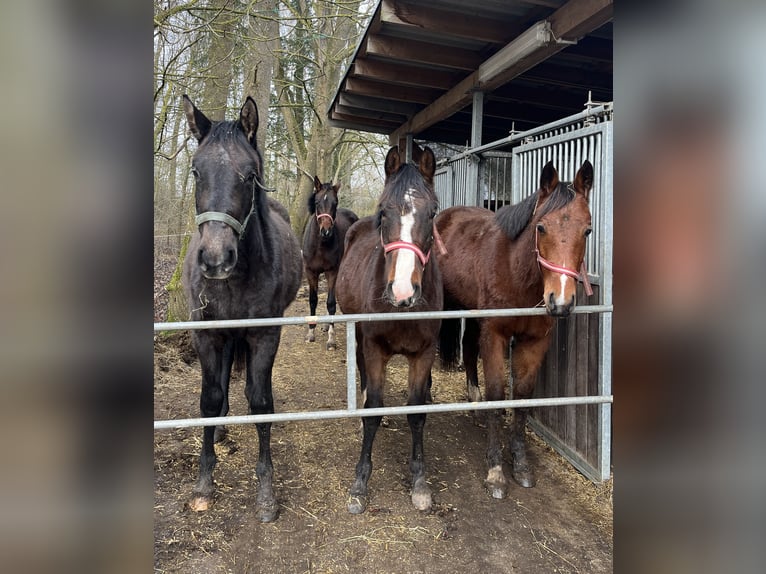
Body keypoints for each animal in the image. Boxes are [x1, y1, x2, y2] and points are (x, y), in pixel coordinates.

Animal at [181, 95, 304, 520]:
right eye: (196, 171)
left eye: (250, 176)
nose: (216, 259)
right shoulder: (207, 335)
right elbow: (209, 397)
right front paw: (204, 483)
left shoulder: (265, 335)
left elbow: (261, 400)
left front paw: (266, 492)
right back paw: (220, 429)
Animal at [300, 178, 360, 352]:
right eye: (317, 202)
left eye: (335, 203)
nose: (326, 231)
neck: (320, 245)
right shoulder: (310, 272)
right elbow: (313, 300)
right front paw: (310, 332)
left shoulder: (332, 271)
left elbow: (331, 303)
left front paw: (331, 339)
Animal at [338, 146, 444, 516]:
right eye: (383, 211)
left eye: (433, 212)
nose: (402, 291)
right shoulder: (374, 348)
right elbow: (373, 408)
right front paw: (360, 483)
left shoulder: (424, 353)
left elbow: (417, 412)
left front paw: (420, 482)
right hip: (357, 335)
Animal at [438, 161, 592, 500]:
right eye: (541, 228)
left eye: (587, 229)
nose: (561, 302)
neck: (515, 271)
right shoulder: (495, 335)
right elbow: (498, 395)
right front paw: (495, 471)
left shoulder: (534, 341)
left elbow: (522, 396)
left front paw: (520, 464)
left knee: (469, 347)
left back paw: (474, 400)